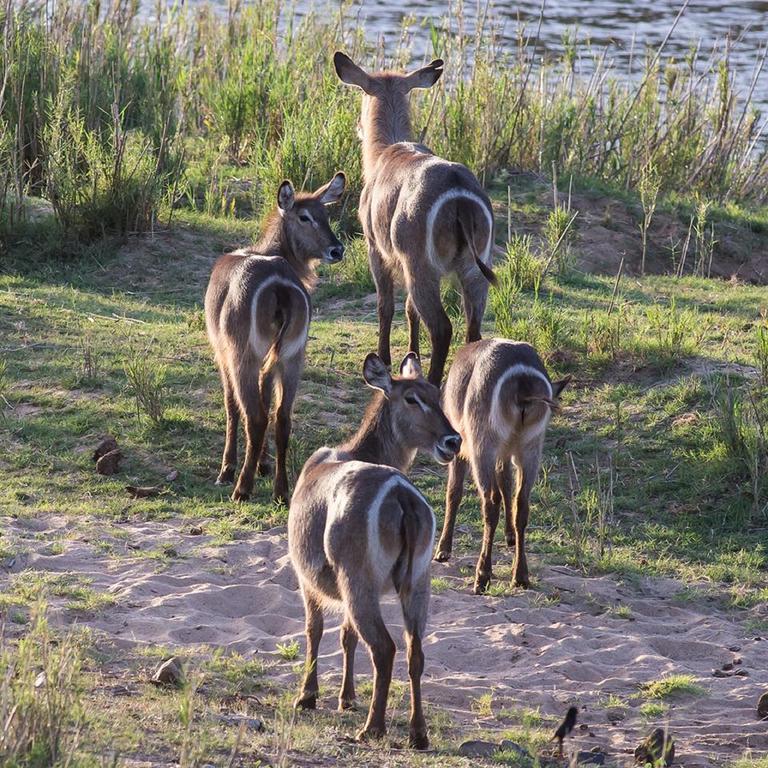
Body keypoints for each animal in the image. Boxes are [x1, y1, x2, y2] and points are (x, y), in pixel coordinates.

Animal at [206, 171, 346, 500]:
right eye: (306, 216)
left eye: (325, 215)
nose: (337, 250)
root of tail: (280, 285)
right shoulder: (273, 360)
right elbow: (267, 399)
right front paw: (263, 464)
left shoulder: (223, 355)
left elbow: (233, 406)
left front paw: (228, 468)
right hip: (293, 357)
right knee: (282, 418)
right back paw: (281, 490)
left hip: (244, 356)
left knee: (254, 417)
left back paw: (241, 487)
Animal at [286, 354, 456, 752]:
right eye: (414, 397)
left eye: (437, 395)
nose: (454, 440)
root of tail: (402, 495)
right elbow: (347, 636)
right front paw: (346, 697)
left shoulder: (307, 578)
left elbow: (314, 630)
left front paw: (308, 696)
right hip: (417, 583)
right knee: (414, 650)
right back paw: (417, 733)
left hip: (358, 580)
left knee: (384, 648)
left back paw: (373, 728)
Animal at [336, 50, 498, 384]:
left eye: (362, 93)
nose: (358, 125)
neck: (385, 151)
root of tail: (459, 195)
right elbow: (410, 310)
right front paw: (411, 356)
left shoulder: (376, 248)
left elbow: (386, 305)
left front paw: (385, 358)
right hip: (474, 268)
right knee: (473, 328)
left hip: (422, 266)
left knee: (442, 327)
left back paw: (435, 383)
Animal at [436, 340, 568, 592]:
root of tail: (523, 383)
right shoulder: (505, 453)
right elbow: (507, 483)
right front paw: (509, 537)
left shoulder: (459, 446)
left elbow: (454, 492)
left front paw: (443, 550)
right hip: (530, 448)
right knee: (521, 502)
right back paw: (520, 575)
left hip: (482, 446)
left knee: (491, 501)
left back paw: (482, 576)